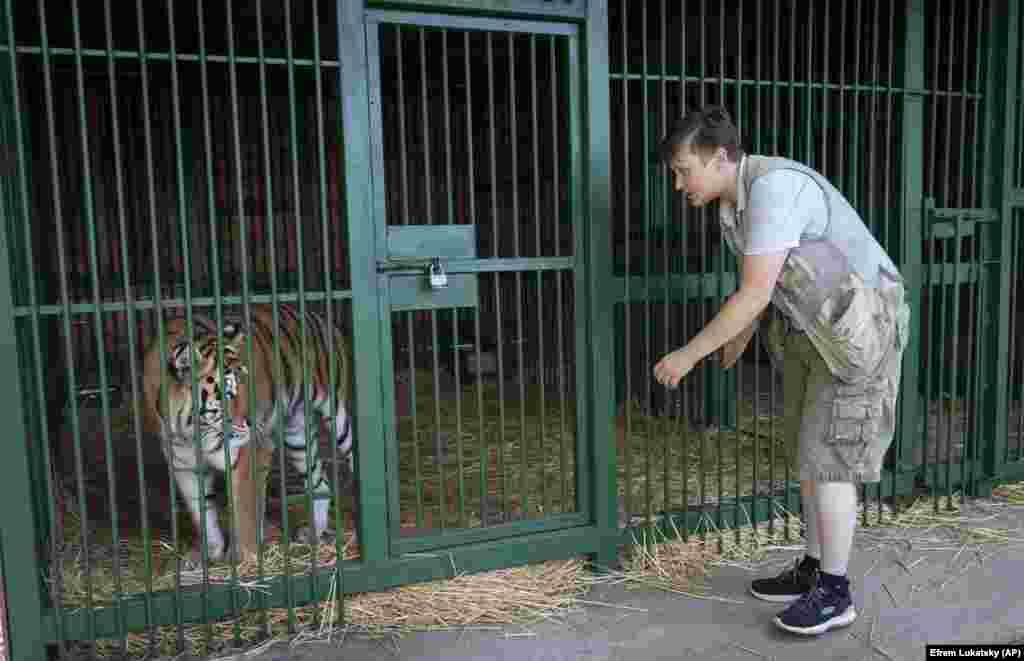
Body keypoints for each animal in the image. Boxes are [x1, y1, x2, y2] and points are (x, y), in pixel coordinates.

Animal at [142, 304, 354, 568]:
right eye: (227, 393)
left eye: (248, 384)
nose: (254, 421)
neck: (191, 430)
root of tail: (315, 314)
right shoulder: (184, 467)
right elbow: (202, 514)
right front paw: (209, 554)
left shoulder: (250, 453)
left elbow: (244, 512)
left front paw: (245, 560)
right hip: (297, 435)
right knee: (320, 481)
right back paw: (314, 534)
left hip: (337, 415)